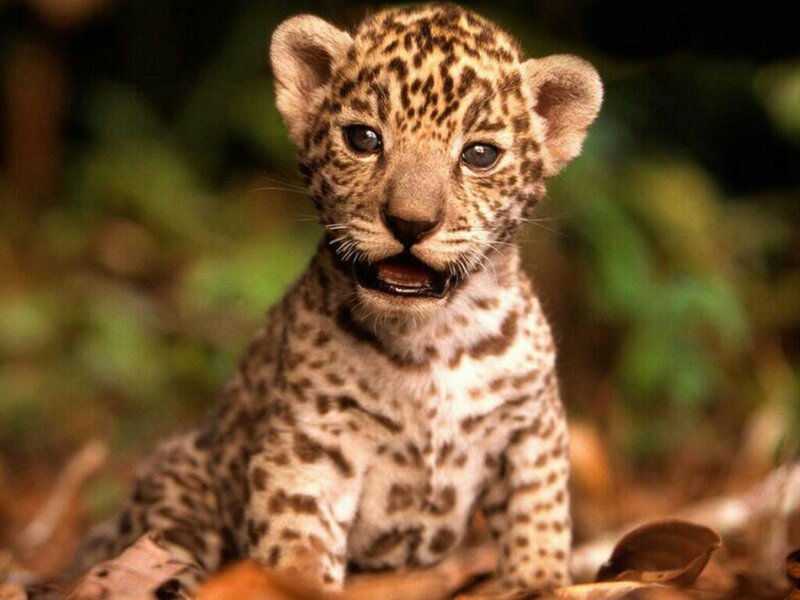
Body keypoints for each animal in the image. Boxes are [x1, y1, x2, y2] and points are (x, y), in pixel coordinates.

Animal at [74, 3, 602, 594]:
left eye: (480, 155)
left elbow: (539, 520)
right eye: (364, 139)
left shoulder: (531, 429)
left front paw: (538, 580)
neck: (431, 340)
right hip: (175, 485)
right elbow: (298, 548)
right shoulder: (311, 447)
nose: (410, 222)